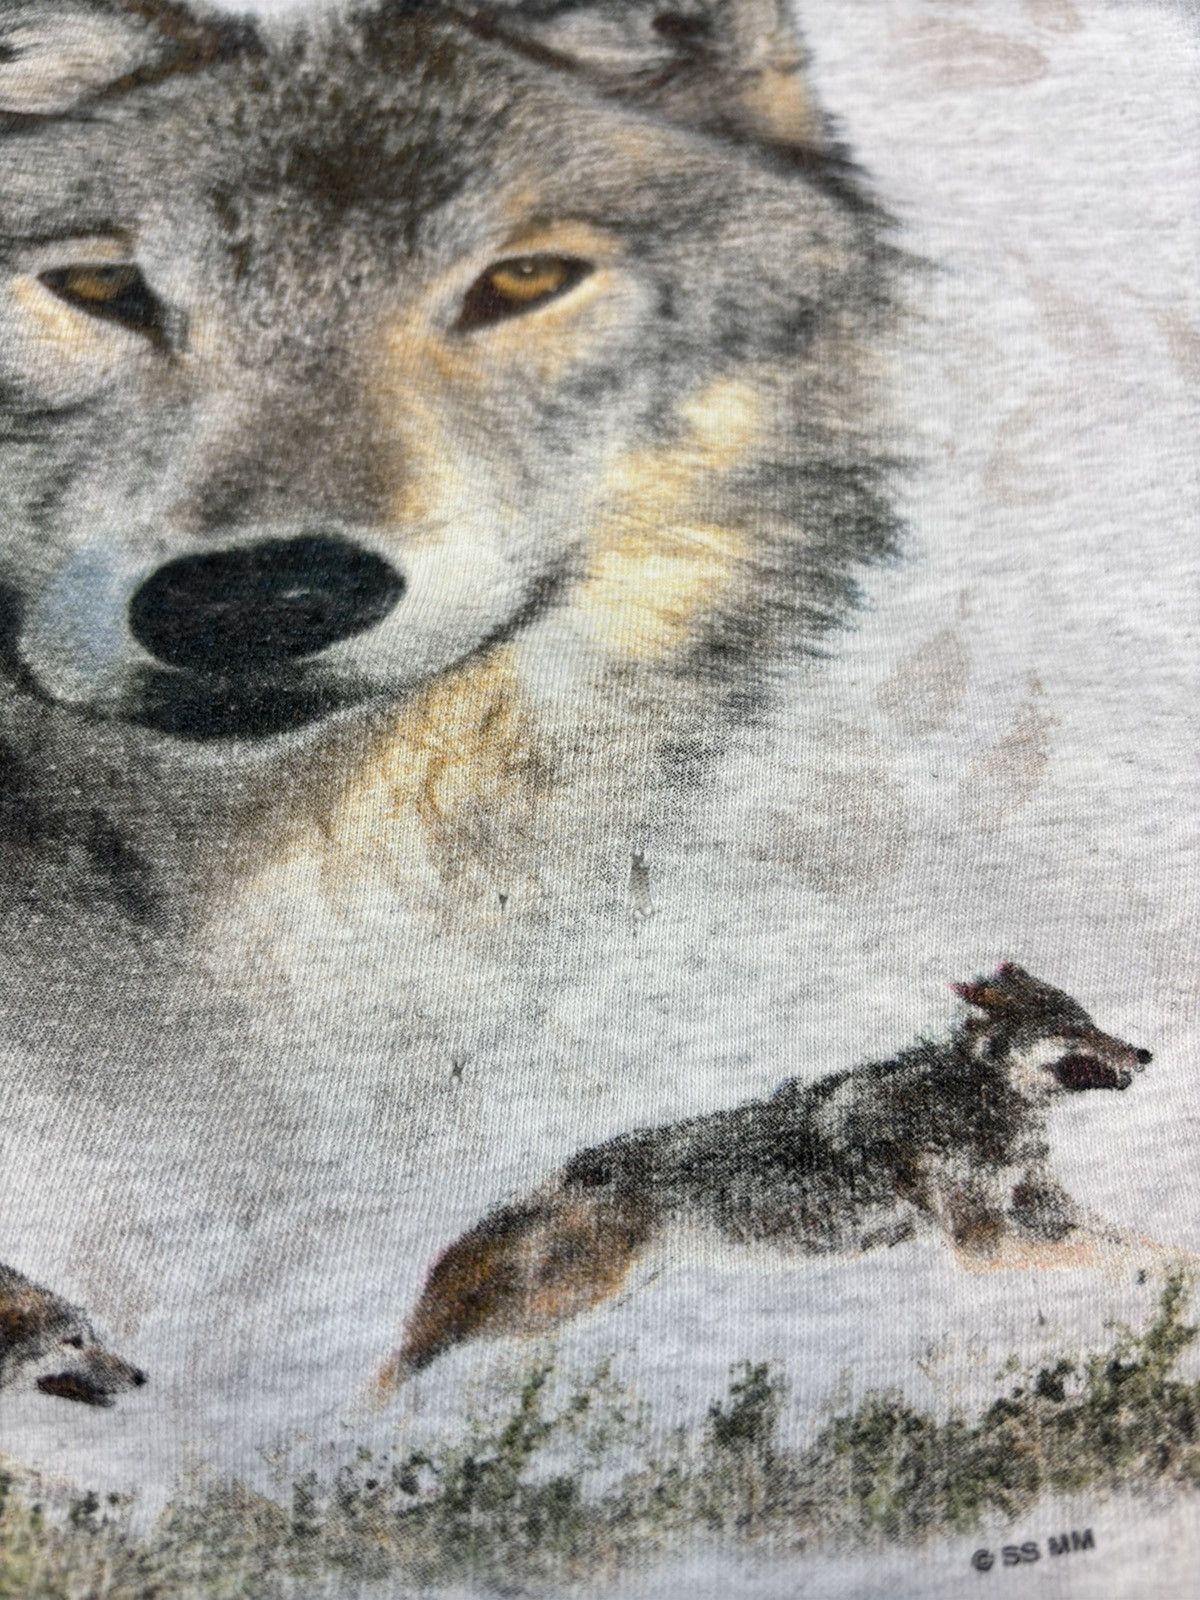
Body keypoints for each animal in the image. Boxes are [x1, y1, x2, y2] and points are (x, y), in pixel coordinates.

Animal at [380, 964, 1186, 1387]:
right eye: (1073, 1027)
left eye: (1093, 1018)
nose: (1147, 1053)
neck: (975, 1101)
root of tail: (570, 1168)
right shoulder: (982, 1242)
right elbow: (1100, 1256)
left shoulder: (1041, 1209)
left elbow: (1145, 1245)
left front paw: (1174, 1274)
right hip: (572, 1293)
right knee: (434, 1338)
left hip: (593, 1296)